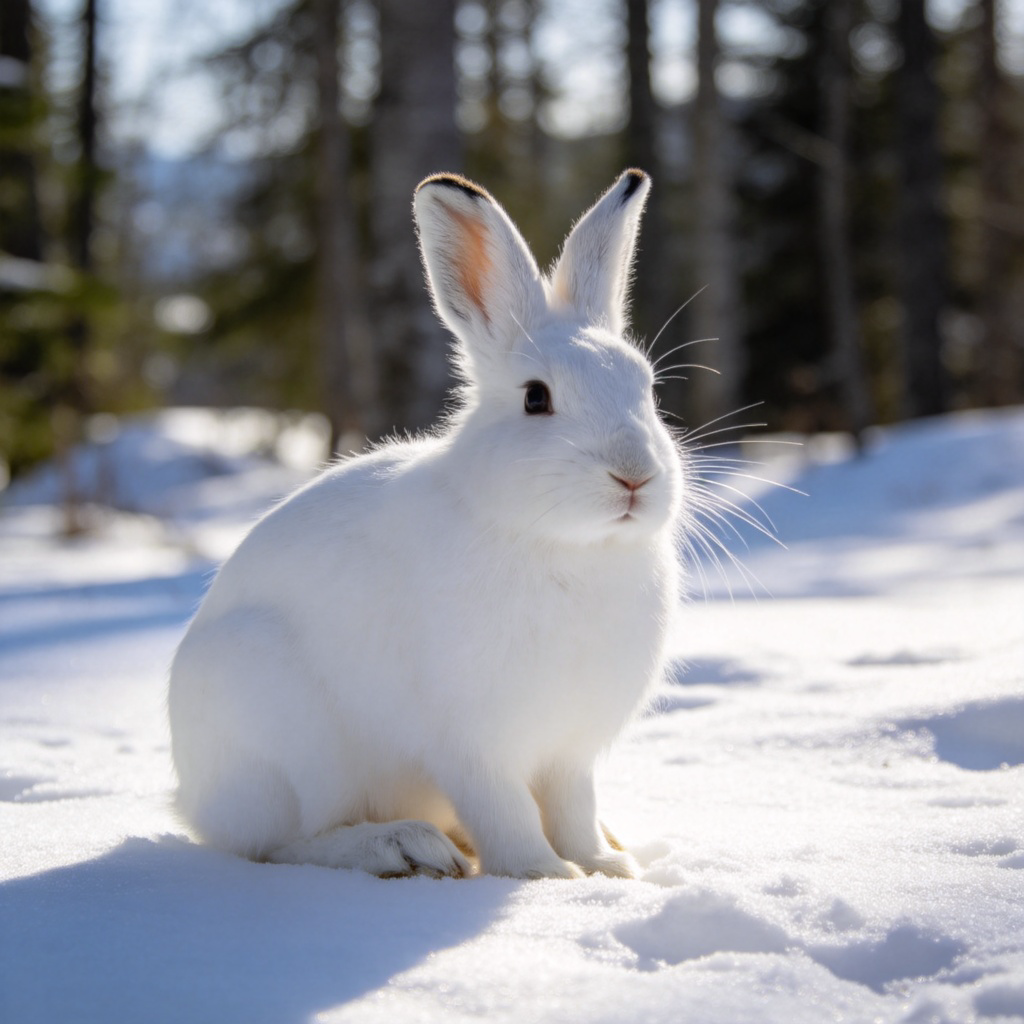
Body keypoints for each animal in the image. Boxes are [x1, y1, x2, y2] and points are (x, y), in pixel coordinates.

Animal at [167, 168, 686, 880]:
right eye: (536, 398)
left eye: (649, 389)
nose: (634, 475)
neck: (565, 545)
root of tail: (191, 796)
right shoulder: (473, 743)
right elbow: (506, 812)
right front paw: (545, 875)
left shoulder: (567, 752)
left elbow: (574, 810)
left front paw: (606, 869)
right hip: (279, 725)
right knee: (283, 842)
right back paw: (407, 848)